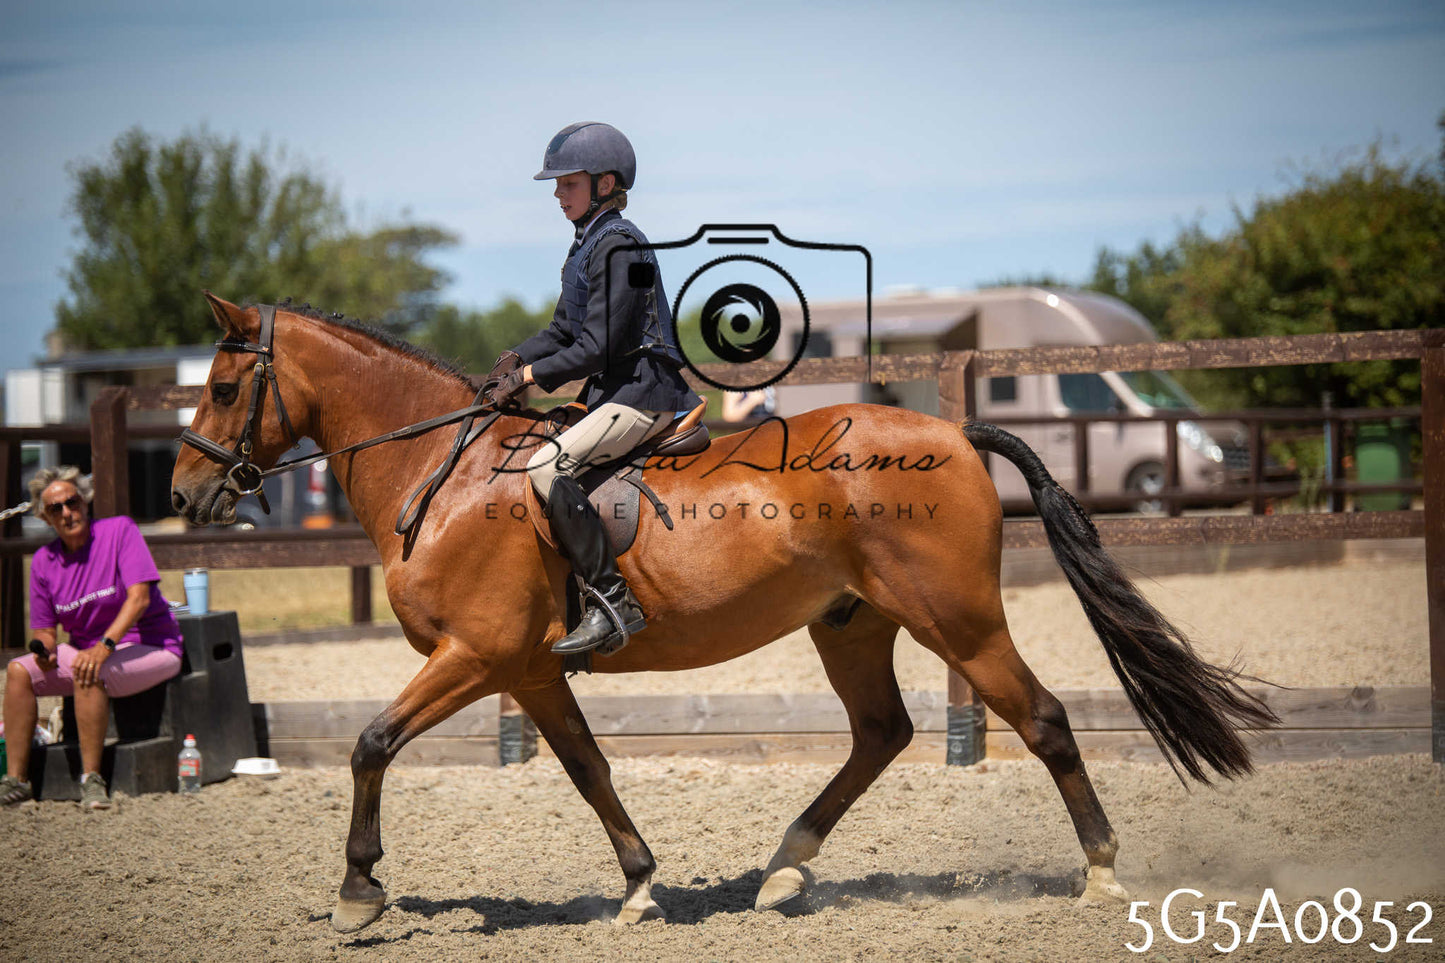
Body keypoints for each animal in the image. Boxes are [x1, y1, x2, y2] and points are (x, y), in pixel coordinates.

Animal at [170, 294, 1278, 934]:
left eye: (223, 385)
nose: (185, 494)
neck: (445, 475)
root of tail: (953, 433)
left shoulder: (475, 655)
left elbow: (369, 743)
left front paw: (357, 892)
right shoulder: (528, 669)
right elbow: (586, 769)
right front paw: (637, 884)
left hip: (955, 620)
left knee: (1039, 720)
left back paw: (1099, 875)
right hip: (851, 623)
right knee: (881, 732)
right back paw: (783, 870)